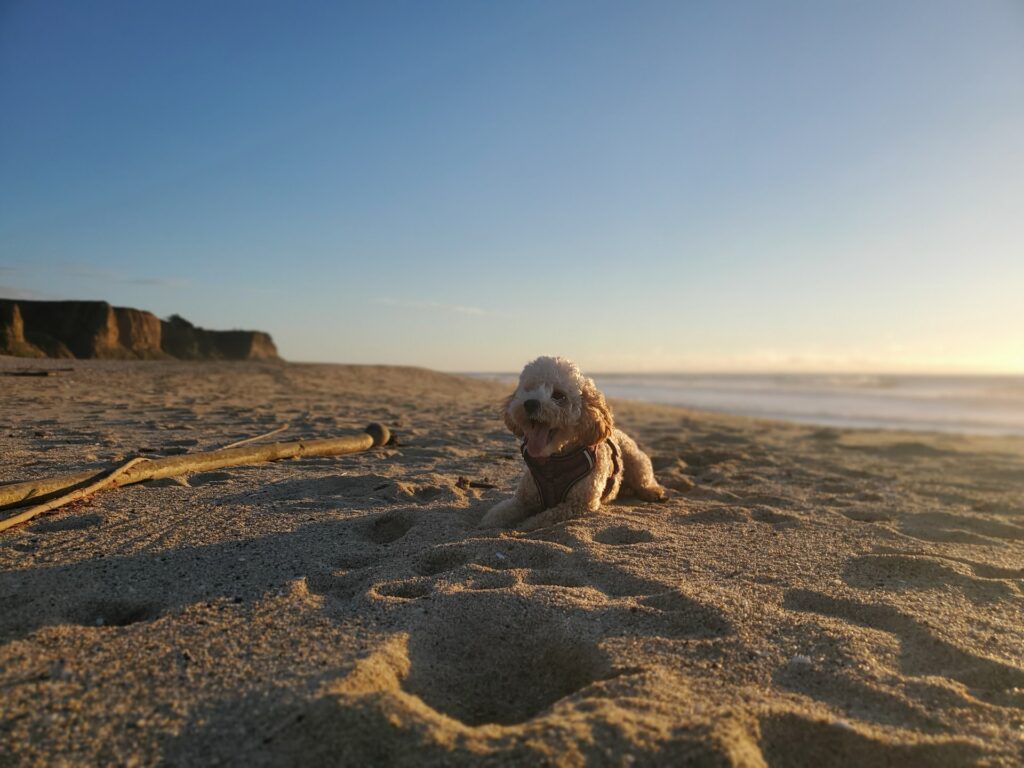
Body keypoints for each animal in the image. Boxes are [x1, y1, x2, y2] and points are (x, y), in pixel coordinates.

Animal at [477, 358, 667, 532]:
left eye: (559, 395)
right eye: (528, 389)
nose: (530, 403)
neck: (553, 462)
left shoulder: (579, 504)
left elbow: (545, 516)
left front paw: (526, 525)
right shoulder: (524, 498)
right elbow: (502, 510)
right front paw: (488, 522)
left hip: (636, 459)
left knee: (644, 479)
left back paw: (652, 491)